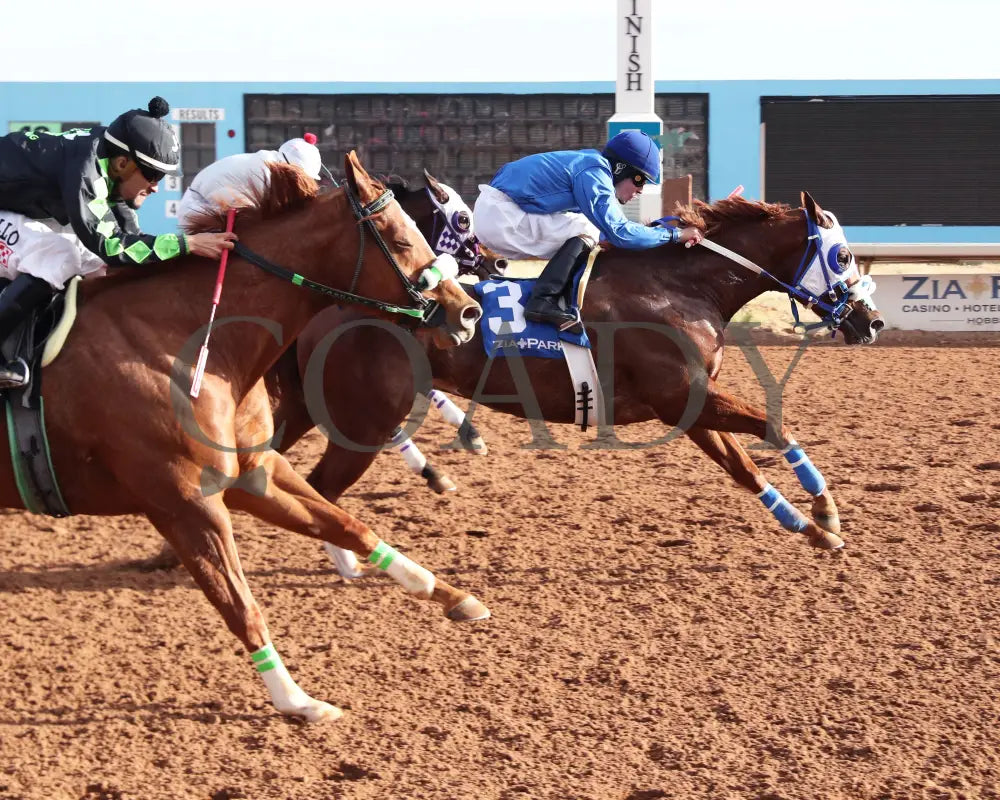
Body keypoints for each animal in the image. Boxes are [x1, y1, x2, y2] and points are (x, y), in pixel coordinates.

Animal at [0, 152, 489, 723]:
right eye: (400, 237)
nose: (468, 311)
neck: (189, 338)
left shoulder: (253, 472)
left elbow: (350, 525)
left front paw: (450, 594)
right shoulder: (186, 502)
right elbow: (241, 605)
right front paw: (298, 700)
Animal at [268, 192, 884, 575]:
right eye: (842, 255)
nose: (871, 322)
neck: (678, 286)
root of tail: (325, 303)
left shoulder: (688, 406)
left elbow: (744, 467)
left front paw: (811, 526)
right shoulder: (682, 396)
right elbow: (773, 427)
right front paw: (826, 511)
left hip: (308, 407)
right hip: (366, 421)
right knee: (319, 488)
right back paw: (350, 561)